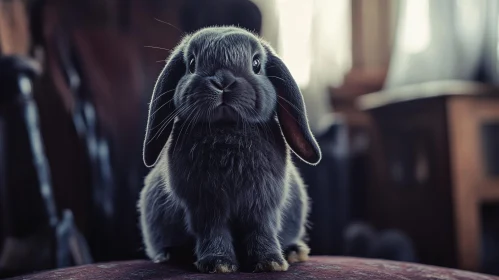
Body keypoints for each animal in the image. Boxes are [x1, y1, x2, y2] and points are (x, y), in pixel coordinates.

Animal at [139, 26, 322, 274]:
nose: (223, 81)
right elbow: (213, 233)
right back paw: (169, 254)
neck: (226, 128)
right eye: (192, 63)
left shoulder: (262, 205)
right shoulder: (205, 207)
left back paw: (294, 251)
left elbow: (261, 231)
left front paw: (270, 263)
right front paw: (218, 264)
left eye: (256, 64)